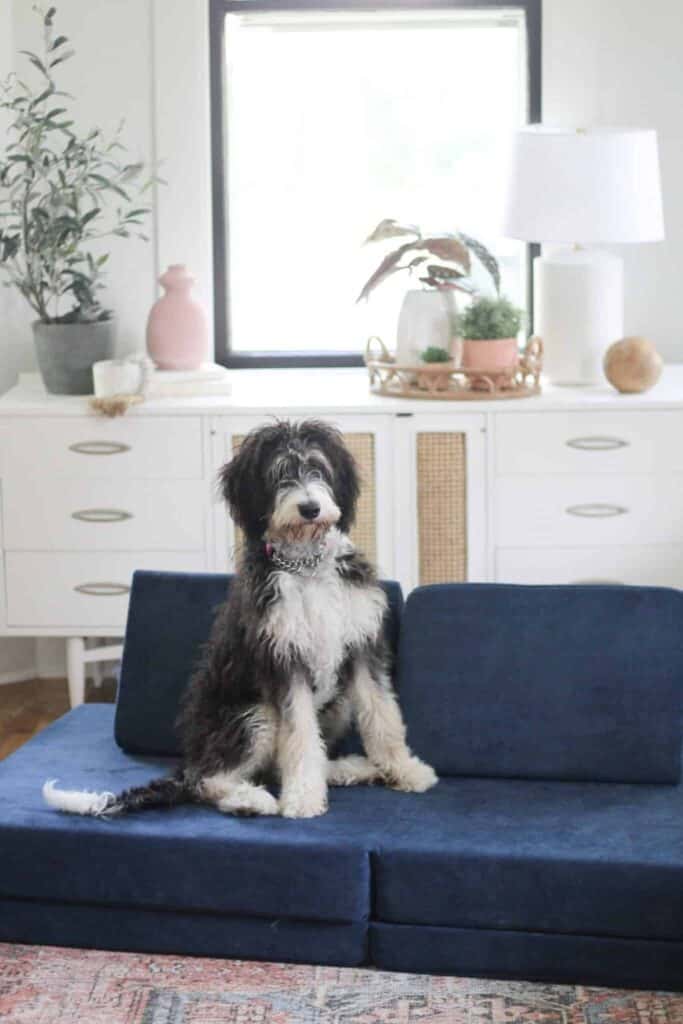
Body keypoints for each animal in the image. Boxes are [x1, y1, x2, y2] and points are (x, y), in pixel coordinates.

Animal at [44, 419, 438, 819]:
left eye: (317, 467)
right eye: (279, 474)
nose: (310, 508)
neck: (307, 566)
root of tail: (190, 761)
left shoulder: (360, 646)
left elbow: (382, 713)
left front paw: (404, 769)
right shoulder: (283, 659)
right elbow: (299, 734)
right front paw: (303, 797)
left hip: (335, 704)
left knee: (280, 763)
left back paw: (351, 768)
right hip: (253, 715)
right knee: (210, 781)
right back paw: (252, 799)